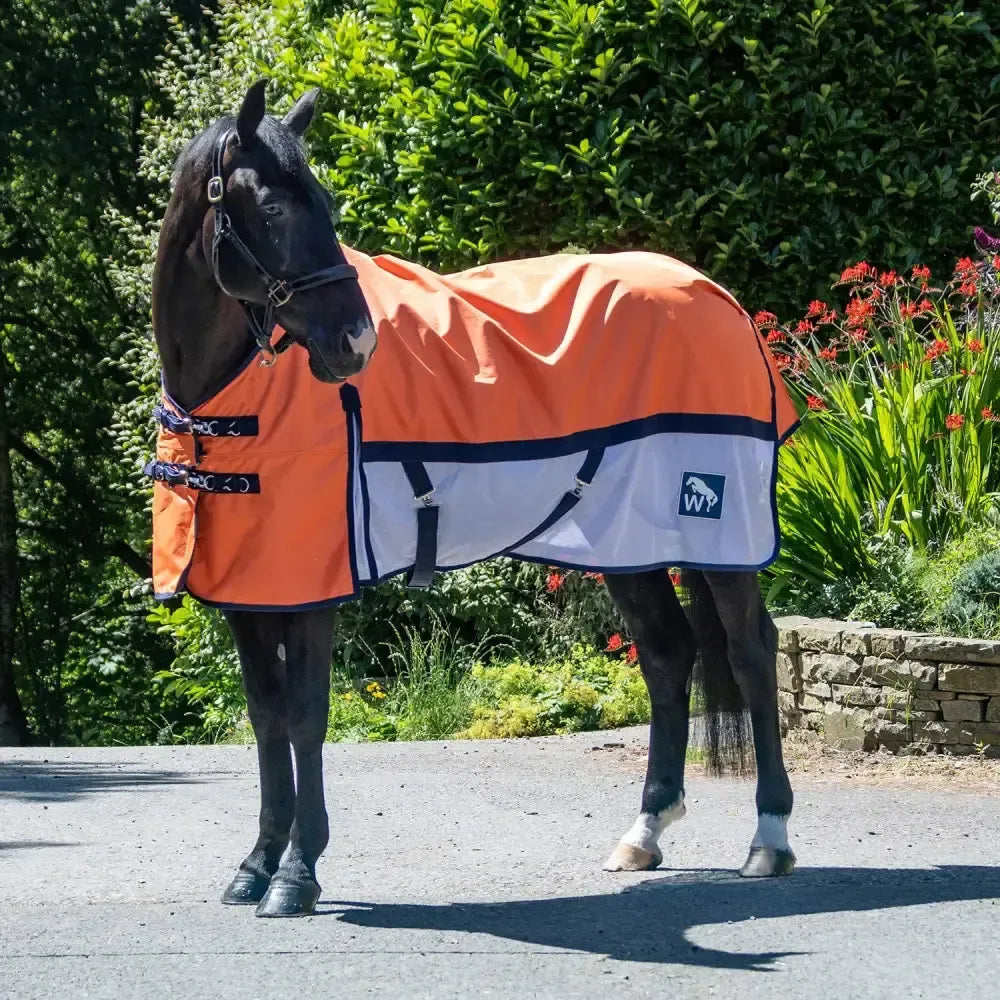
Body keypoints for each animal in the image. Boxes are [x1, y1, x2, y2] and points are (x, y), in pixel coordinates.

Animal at [149, 80, 796, 918]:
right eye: (277, 207)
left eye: (322, 201)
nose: (356, 344)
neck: (236, 397)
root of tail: (719, 297)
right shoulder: (251, 592)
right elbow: (265, 719)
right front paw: (256, 863)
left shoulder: (315, 589)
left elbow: (305, 715)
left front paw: (296, 873)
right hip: (629, 542)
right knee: (665, 654)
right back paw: (644, 832)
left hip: (718, 531)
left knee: (751, 653)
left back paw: (769, 840)